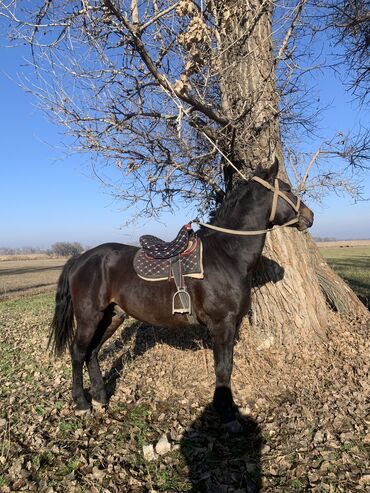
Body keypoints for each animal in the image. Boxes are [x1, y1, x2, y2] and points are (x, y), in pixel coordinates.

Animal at [49, 160, 314, 428]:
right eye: (288, 189)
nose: (309, 216)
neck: (227, 255)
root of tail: (81, 258)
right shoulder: (222, 325)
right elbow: (223, 369)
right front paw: (227, 415)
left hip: (111, 317)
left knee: (92, 352)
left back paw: (100, 398)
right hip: (89, 317)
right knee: (78, 352)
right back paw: (82, 404)